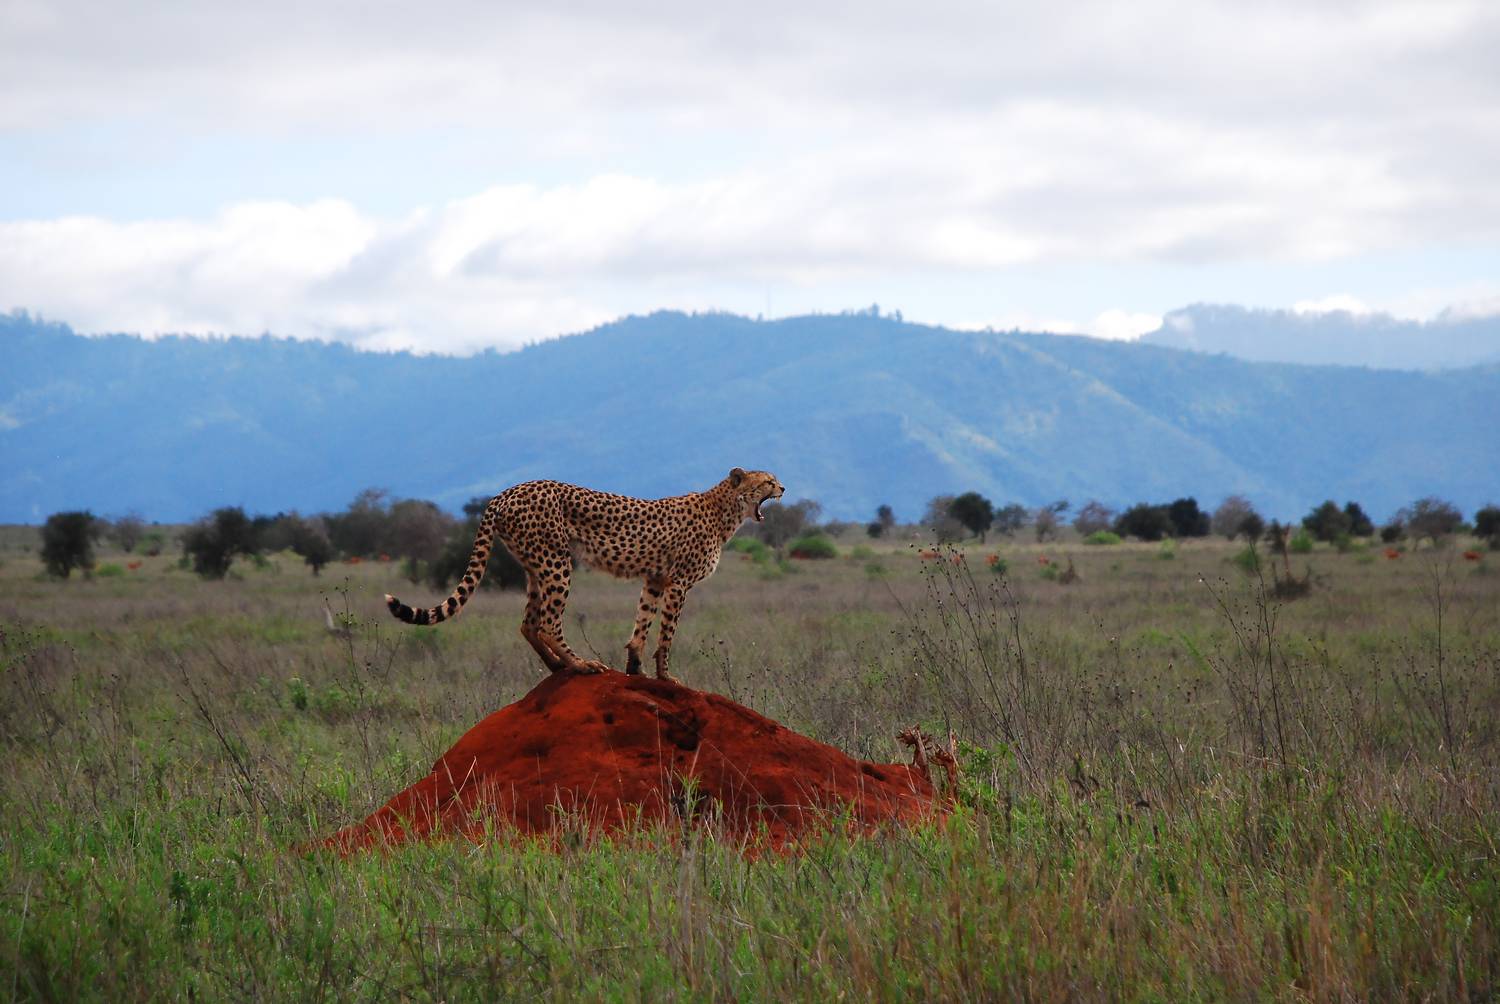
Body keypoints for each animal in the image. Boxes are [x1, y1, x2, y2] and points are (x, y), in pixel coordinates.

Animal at [384, 468, 784, 679]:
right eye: (766, 481)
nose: (783, 487)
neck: (724, 510)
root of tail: (506, 492)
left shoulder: (655, 580)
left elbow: (642, 624)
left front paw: (635, 668)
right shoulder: (679, 583)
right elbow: (666, 635)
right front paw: (665, 676)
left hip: (536, 567)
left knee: (529, 623)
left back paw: (558, 667)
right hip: (556, 563)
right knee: (547, 623)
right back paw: (580, 664)